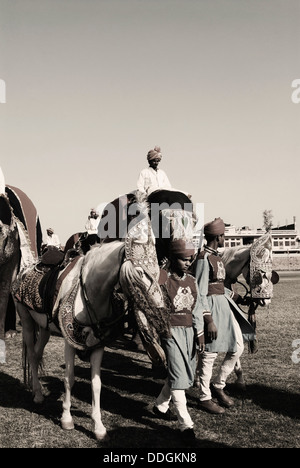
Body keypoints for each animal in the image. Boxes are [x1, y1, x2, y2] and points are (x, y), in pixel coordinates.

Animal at [13, 197, 171, 438]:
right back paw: (38, 394)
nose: (159, 307)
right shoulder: (70, 342)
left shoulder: (97, 344)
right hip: (27, 319)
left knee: (38, 353)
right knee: (31, 353)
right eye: (139, 271)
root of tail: (25, 268)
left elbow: (96, 383)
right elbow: (69, 378)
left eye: (156, 267)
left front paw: (98, 426)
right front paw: (67, 419)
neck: (91, 291)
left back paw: (36, 389)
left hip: (46, 327)